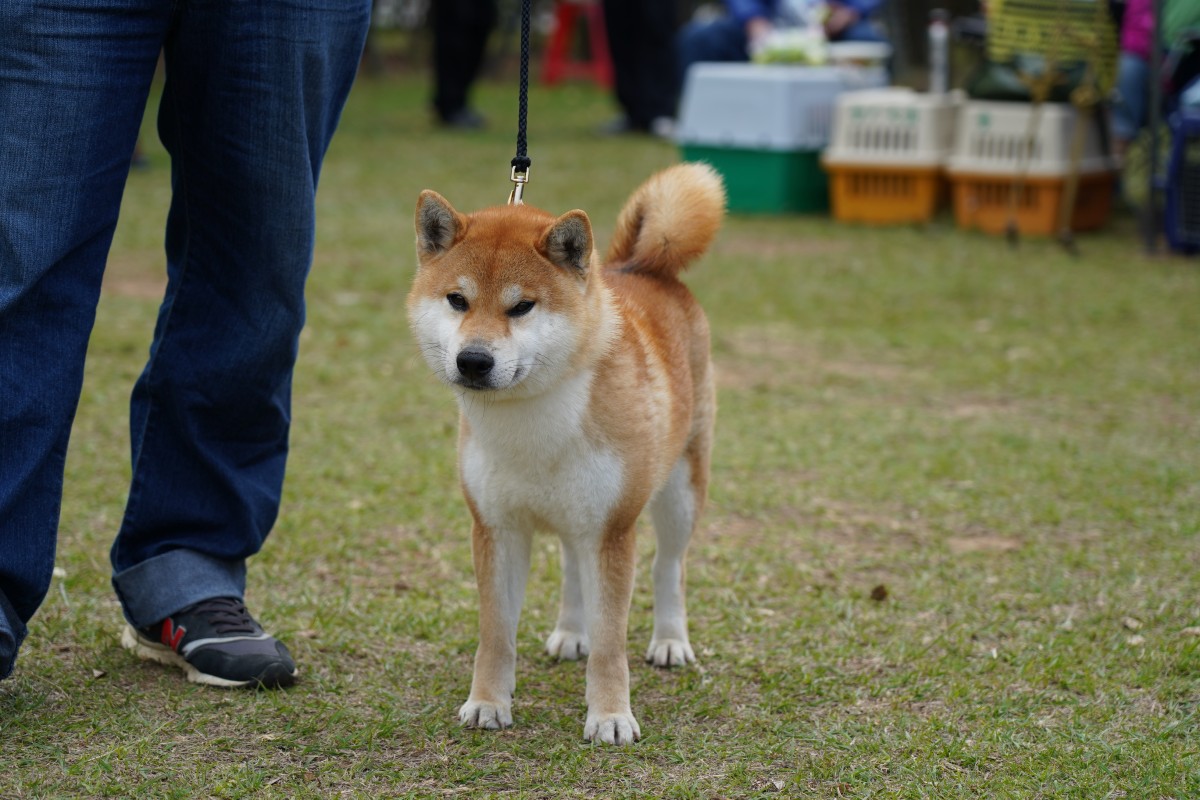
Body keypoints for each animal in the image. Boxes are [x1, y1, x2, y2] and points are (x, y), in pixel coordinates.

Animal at [408, 163, 724, 743]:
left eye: (521, 306)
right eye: (457, 300)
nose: (473, 360)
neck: (530, 421)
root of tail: (641, 266)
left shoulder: (612, 531)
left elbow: (611, 643)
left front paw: (611, 716)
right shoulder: (496, 528)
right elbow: (496, 634)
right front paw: (487, 702)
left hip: (678, 492)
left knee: (668, 566)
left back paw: (670, 641)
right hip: (573, 512)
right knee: (573, 567)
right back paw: (571, 632)